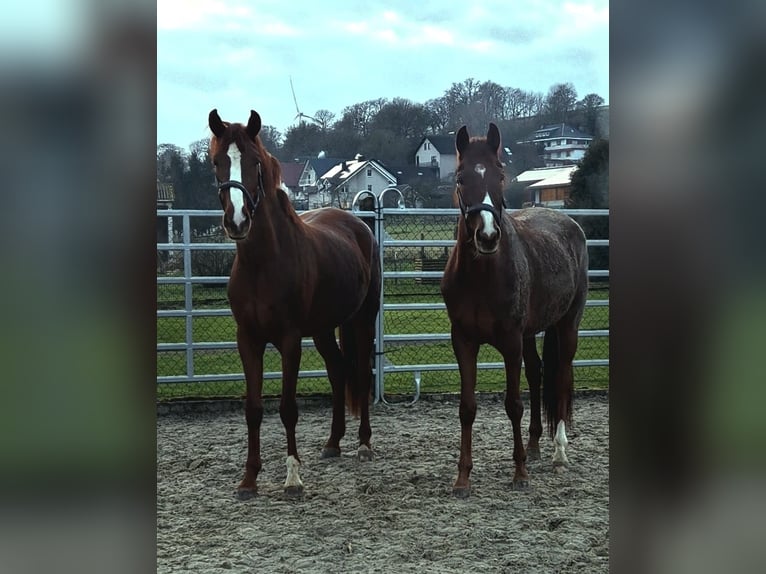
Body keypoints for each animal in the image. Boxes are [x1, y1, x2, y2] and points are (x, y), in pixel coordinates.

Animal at [208, 111, 382, 500]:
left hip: (363, 319)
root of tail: (358, 223)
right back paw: (333, 443)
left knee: (361, 373)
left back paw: (364, 445)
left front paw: (292, 478)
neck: (262, 264)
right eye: (217, 162)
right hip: (323, 329)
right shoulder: (248, 339)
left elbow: (288, 408)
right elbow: (254, 408)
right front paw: (249, 480)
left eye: (254, 163)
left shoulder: (289, 340)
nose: (237, 221)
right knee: (338, 370)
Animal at [440, 122, 592, 500]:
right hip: (530, 333)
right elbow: (467, 407)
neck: (481, 276)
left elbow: (513, 404)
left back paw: (558, 451)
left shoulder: (509, 342)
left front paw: (520, 473)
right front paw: (462, 478)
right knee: (538, 374)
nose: (487, 236)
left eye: (501, 175)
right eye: (461, 177)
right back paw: (535, 445)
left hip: (567, 325)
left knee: (562, 376)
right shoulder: (463, 341)